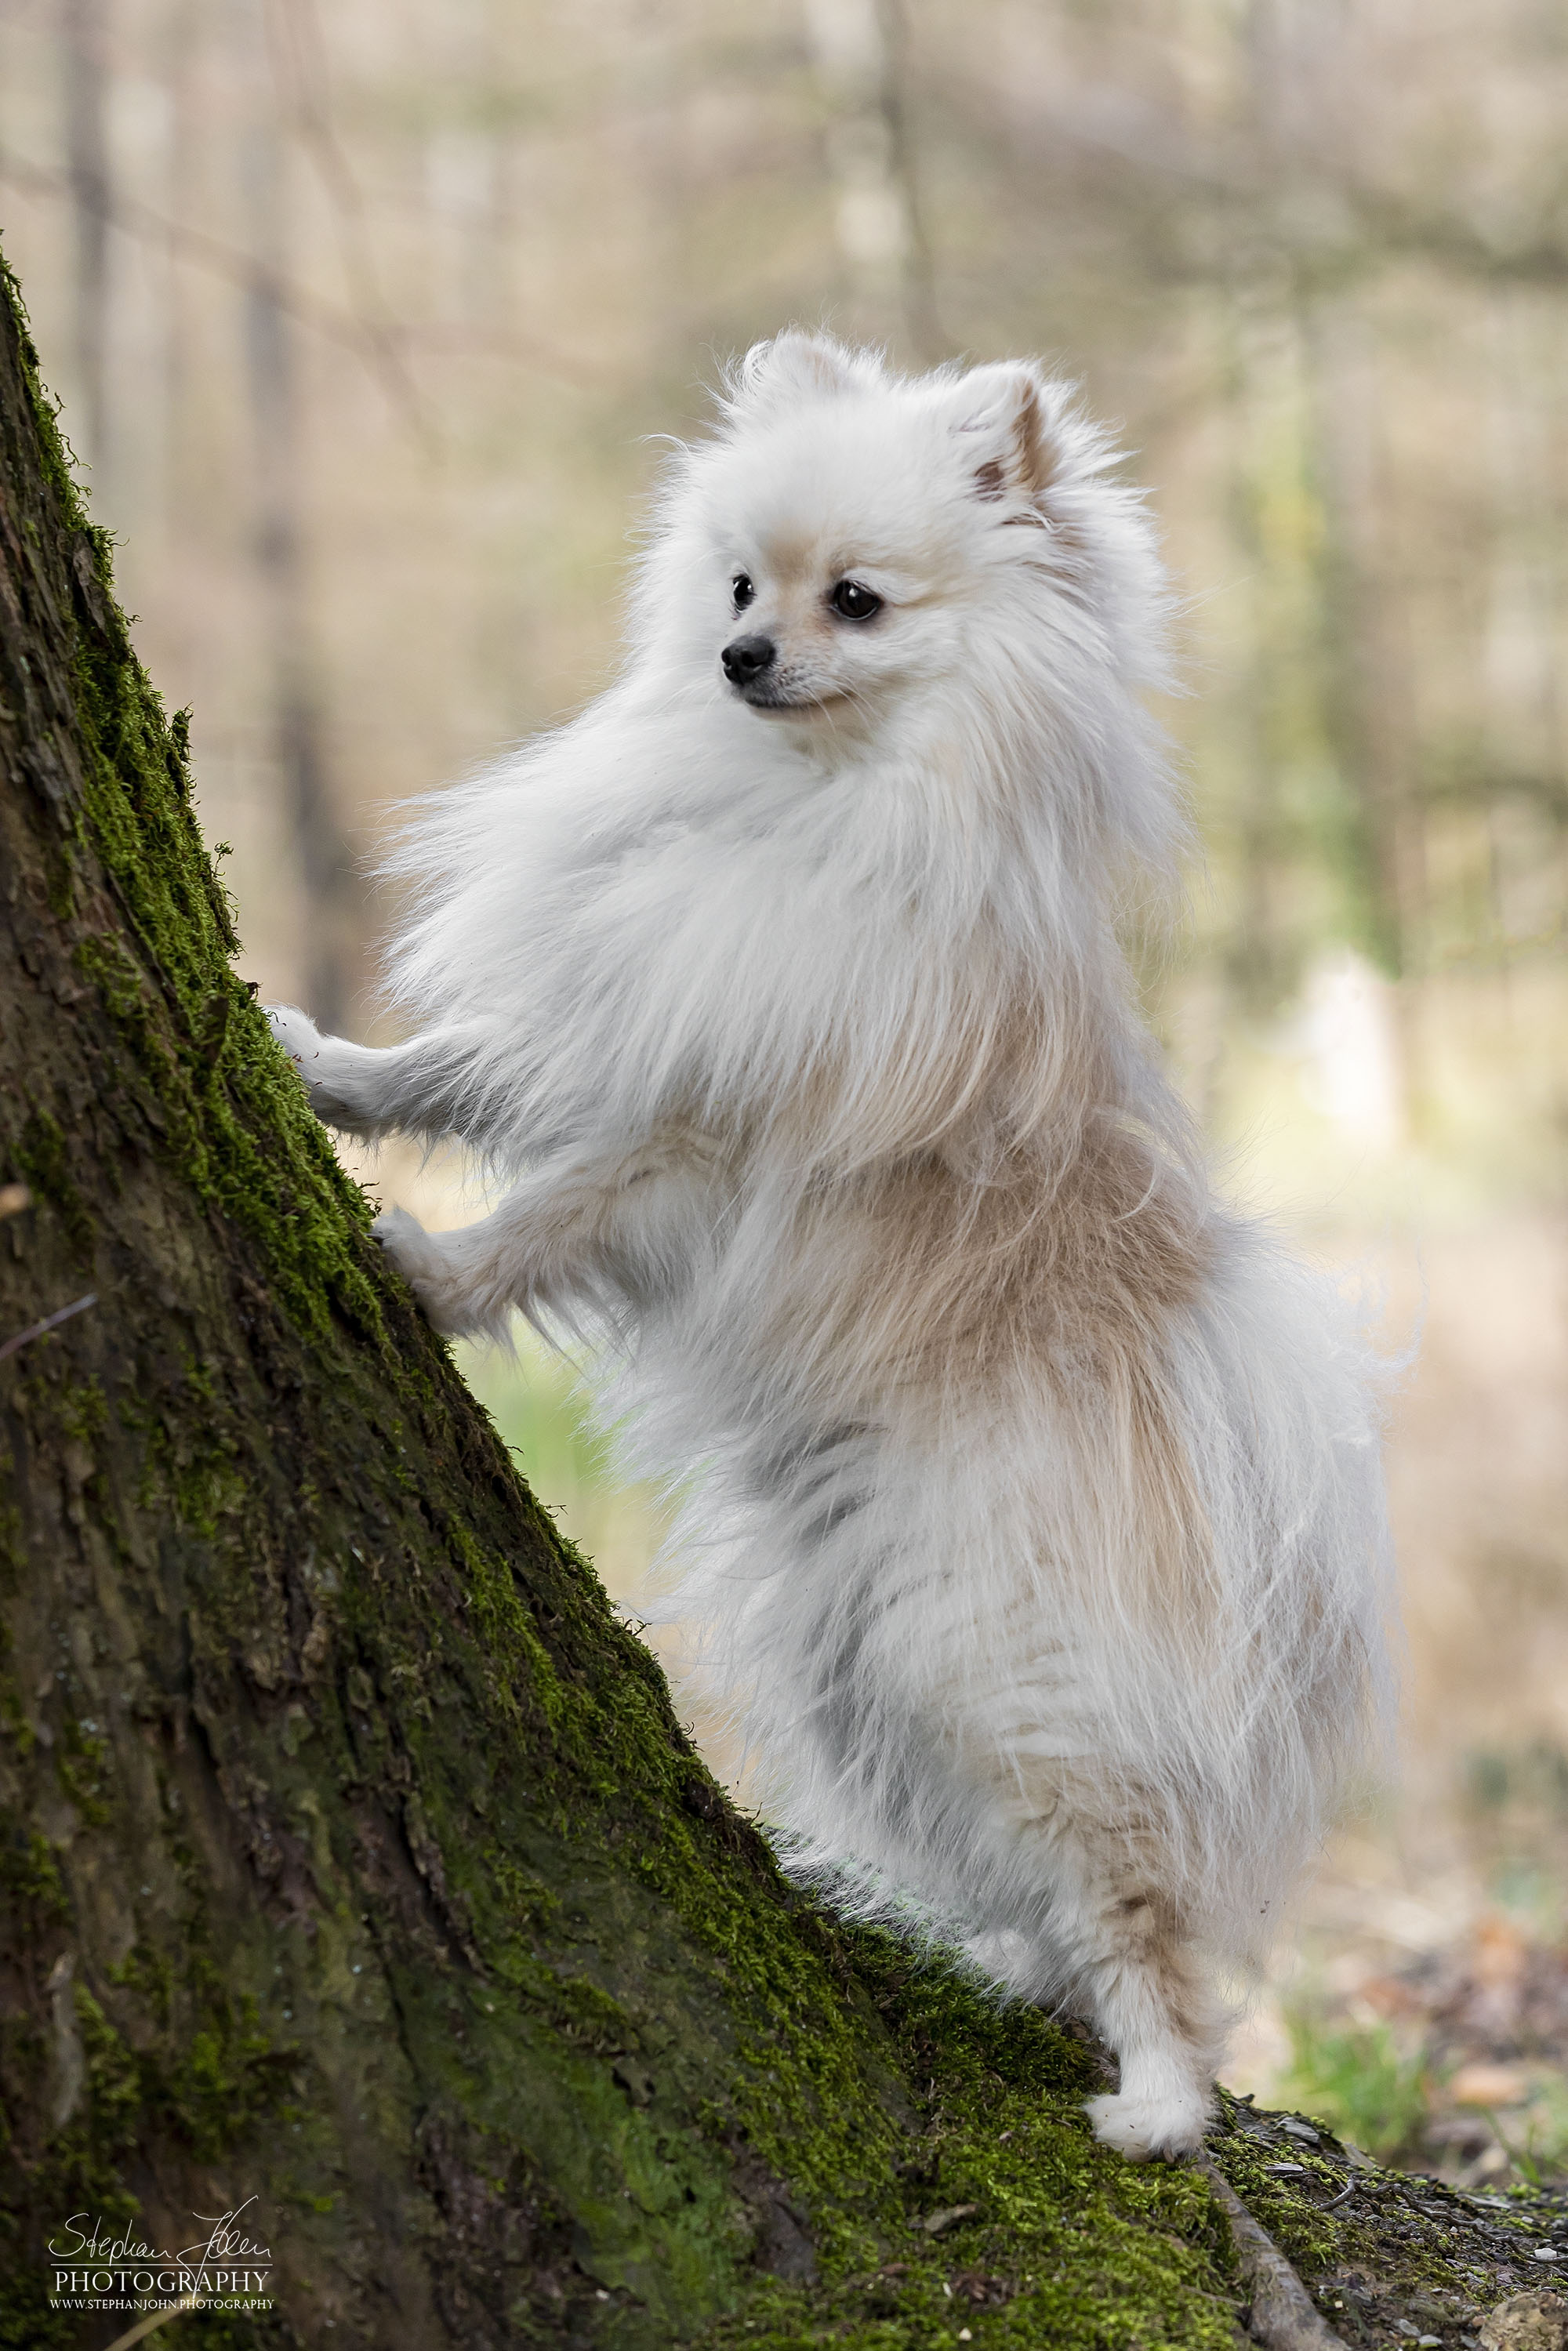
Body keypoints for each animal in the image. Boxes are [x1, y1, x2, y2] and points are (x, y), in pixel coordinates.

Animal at [267, 336, 1382, 2163]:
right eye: (737, 583)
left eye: (853, 601)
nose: (740, 653)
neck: (806, 805)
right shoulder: (642, 1006)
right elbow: (464, 1068)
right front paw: (324, 1069)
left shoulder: (701, 1143)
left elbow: (555, 1212)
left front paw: (431, 1271)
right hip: (868, 1667)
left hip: (1007, 1671)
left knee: (1140, 1897)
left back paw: (1154, 2100)